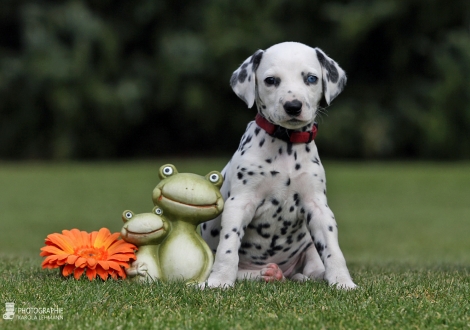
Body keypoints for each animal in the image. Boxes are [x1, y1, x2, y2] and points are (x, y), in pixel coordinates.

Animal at [201, 40, 356, 288]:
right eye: (271, 80)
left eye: (311, 78)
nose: (293, 106)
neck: (286, 145)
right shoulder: (239, 204)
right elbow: (228, 247)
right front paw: (219, 281)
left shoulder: (318, 207)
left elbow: (333, 250)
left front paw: (342, 281)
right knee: (246, 273)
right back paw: (268, 274)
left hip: (308, 248)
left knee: (310, 271)